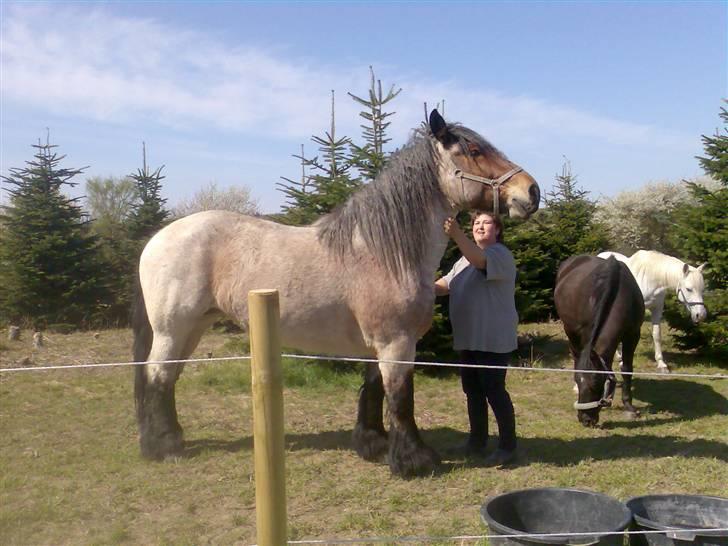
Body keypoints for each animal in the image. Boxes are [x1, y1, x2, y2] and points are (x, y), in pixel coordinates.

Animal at [132, 108, 540, 474]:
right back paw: (163, 447)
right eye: (474, 150)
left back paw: (171, 439)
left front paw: (374, 445)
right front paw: (413, 461)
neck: (383, 252)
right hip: (173, 330)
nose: (531, 191)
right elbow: (401, 398)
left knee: (167, 378)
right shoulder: (396, 343)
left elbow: (374, 390)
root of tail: (156, 240)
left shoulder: (380, 345)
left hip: (194, 327)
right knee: (157, 376)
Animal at [556, 254, 644, 424]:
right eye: (579, 381)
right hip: (570, 330)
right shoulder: (586, 333)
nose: (585, 419)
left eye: (596, 384)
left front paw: (629, 406)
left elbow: (627, 369)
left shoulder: (633, 334)